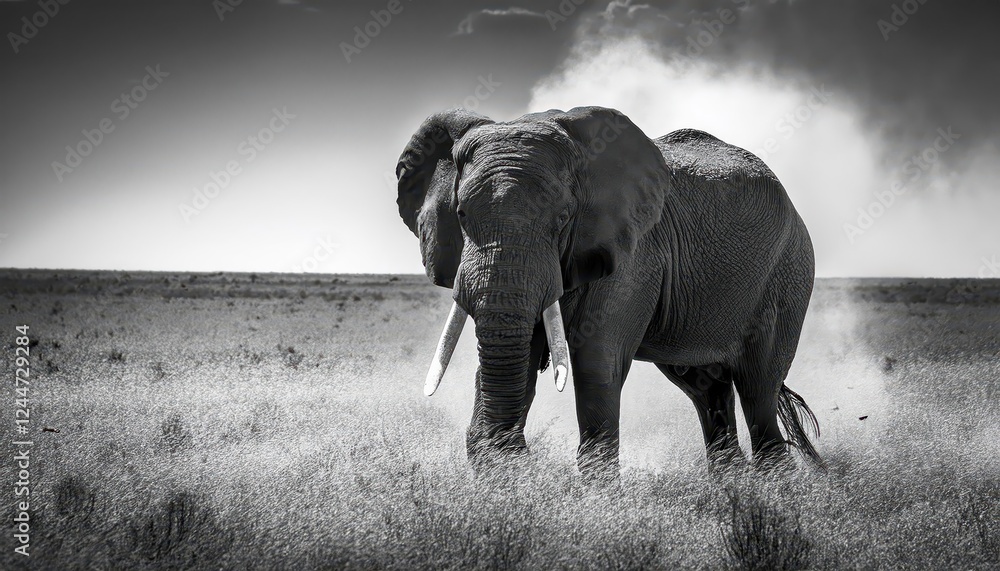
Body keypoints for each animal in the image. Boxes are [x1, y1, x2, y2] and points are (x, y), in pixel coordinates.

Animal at [395, 106, 821, 479]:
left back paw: (775, 492)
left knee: (758, 386)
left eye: (562, 218)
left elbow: (598, 360)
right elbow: (520, 352)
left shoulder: (636, 253)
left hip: (789, 271)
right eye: (461, 215)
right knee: (707, 389)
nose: (519, 453)